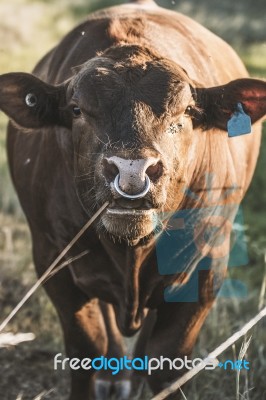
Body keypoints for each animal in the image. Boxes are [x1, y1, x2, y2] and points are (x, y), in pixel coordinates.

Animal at [0, 0, 266, 398]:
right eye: (77, 109)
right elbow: (86, 347)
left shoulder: (207, 268)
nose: (131, 171)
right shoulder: (52, 260)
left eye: (186, 111)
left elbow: (168, 358)